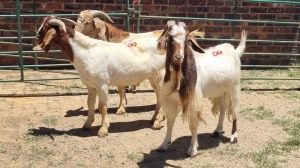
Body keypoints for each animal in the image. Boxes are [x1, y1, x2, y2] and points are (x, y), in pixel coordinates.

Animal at [34, 16, 169, 138]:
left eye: (45, 27)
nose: (36, 38)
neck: (86, 52)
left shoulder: (102, 84)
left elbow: (102, 106)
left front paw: (103, 129)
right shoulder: (90, 86)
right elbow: (90, 103)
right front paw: (87, 125)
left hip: (161, 75)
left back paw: (157, 122)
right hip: (153, 77)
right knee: (159, 96)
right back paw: (154, 118)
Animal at [156, 20, 247, 157]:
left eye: (186, 41)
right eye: (170, 39)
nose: (178, 57)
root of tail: (235, 51)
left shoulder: (193, 100)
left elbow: (193, 125)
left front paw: (192, 149)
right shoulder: (171, 100)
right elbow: (170, 122)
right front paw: (163, 145)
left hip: (234, 87)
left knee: (234, 110)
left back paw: (234, 136)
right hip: (221, 90)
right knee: (223, 108)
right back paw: (217, 131)